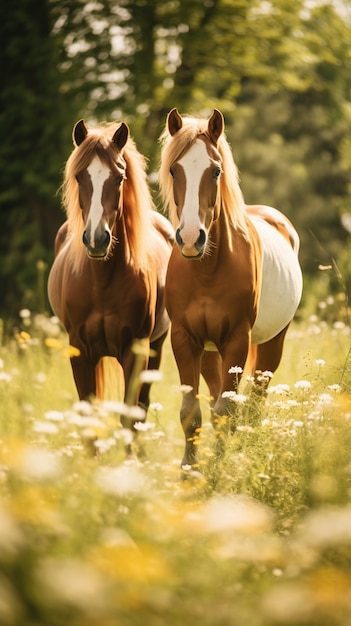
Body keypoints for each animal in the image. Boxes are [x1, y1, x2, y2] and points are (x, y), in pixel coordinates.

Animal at [47, 119, 174, 426]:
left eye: (118, 178)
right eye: (79, 177)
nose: (96, 239)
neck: (101, 282)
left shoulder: (135, 351)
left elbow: (130, 416)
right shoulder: (80, 351)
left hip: (155, 348)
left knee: (142, 407)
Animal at [160, 108, 302, 468]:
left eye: (215, 171)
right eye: (174, 169)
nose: (191, 238)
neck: (206, 270)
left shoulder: (237, 340)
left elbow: (228, 412)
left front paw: (218, 470)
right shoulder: (184, 340)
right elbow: (192, 413)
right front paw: (190, 470)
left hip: (270, 345)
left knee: (254, 404)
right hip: (212, 353)